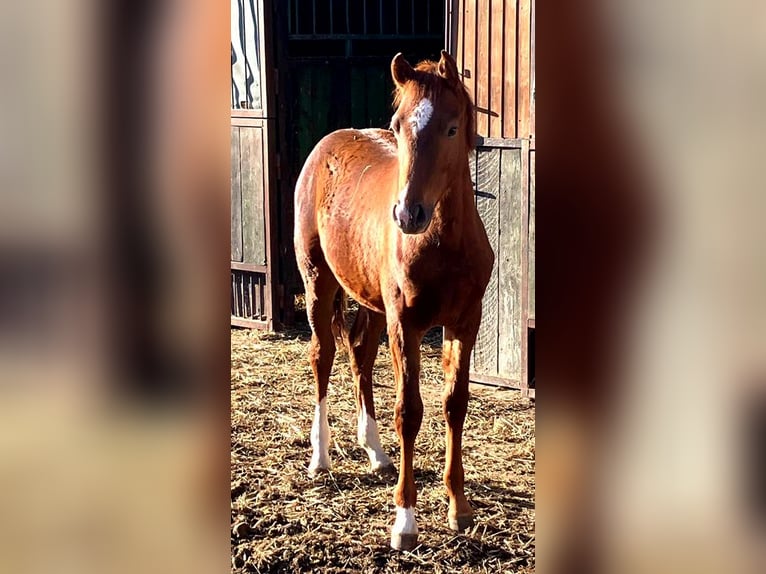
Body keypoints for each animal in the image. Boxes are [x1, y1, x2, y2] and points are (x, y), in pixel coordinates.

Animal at [293, 50, 494, 551]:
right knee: (323, 354)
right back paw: (321, 457)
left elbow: (454, 404)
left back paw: (376, 452)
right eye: (398, 125)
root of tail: (328, 142)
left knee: (360, 356)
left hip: (371, 303)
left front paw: (459, 507)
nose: (407, 214)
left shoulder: (465, 322)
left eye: (451, 127)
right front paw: (405, 521)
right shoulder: (406, 324)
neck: (444, 245)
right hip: (319, 281)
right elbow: (409, 411)